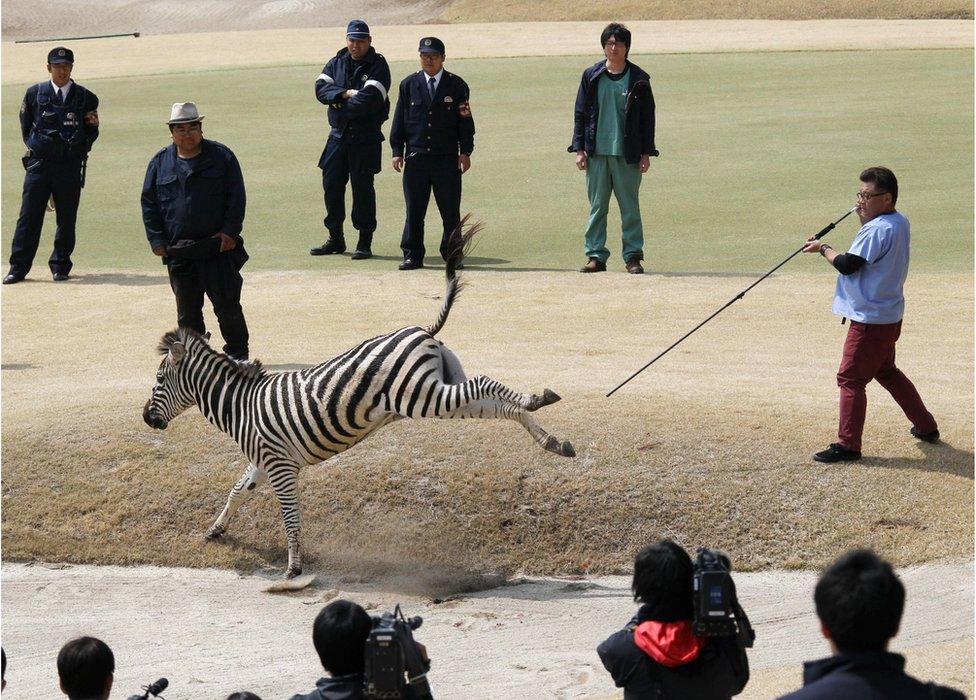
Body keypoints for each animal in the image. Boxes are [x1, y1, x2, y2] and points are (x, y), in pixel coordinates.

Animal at [144, 220, 572, 580]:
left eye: (159, 379)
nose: (147, 418)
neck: (241, 405)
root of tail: (422, 330)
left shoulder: (281, 467)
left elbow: (290, 516)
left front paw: (293, 568)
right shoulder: (264, 461)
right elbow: (236, 490)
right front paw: (216, 530)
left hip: (422, 395)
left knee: (485, 384)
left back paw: (539, 400)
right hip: (442, 392)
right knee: (497, 401)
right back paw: (550, 434)